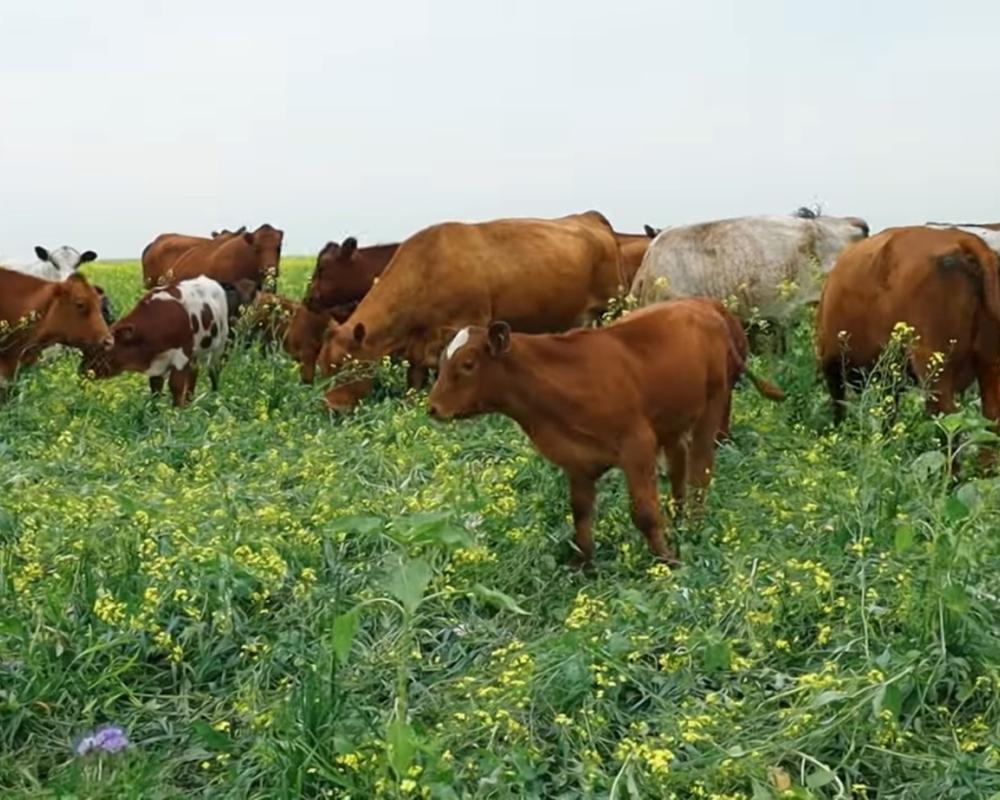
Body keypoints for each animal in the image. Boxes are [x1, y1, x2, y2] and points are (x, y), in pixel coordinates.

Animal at [81, 276, 233, 407]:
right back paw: (190, 401)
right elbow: (155, 388)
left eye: (105, 346)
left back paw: (214, 396)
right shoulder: (158, 362)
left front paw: (177, 413)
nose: (82, 370)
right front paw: (155, 412)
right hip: (195, 353)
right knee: (194, 372)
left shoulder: (181, 355)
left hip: (220, 345)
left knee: (214, 371)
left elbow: (176, 385)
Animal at [317, 212, 624, 410]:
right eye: (323, 368)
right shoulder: (418, 349)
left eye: (346, 364)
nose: (329, 406)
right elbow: (414, 381)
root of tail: (590, 217)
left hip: (614, 305)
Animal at [426, 299, 783, 566]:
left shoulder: (637, 447)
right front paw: (583, 565)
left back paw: (694, 523)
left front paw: (668, 561)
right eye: (441, 362)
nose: (433, 408)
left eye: (468, 364)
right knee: (679, 467)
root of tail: (707, 307)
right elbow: (581, 514)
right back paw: (679, 517)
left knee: (700, 468)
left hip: (712, 406)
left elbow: (644, 513)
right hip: (672, 421)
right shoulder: (577, 462)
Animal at [817, 226, 1000, 465]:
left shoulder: (831, 363)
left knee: (948, 420)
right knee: (991, 419)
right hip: (989, 362)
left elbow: (840, 406)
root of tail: (961, 239)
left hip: (934, 368)